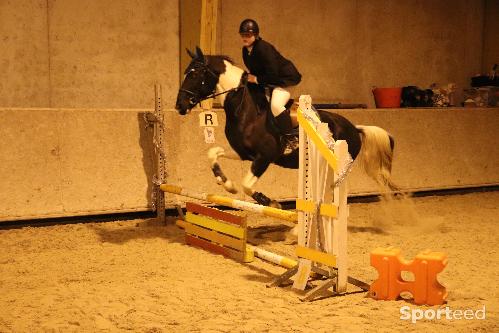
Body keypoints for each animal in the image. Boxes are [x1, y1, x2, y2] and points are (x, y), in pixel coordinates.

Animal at [176, 46, 398, 208]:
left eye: (194, 75)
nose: (179, 106)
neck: (244, 109)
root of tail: (354, 128)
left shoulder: (264, 157)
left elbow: (247, 185)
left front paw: (268, 201)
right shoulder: (243, 152)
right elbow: (213, 153)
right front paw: (227, 184)